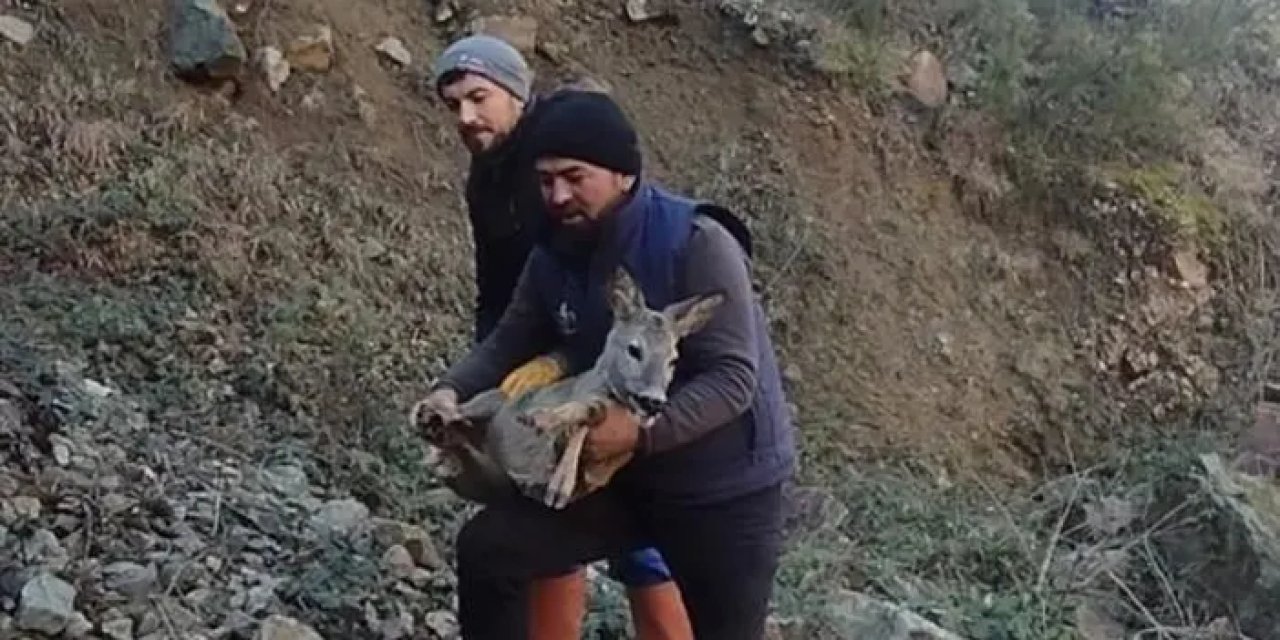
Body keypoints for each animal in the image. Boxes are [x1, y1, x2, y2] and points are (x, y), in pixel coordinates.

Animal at [414, 264, 727, 509]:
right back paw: (432, 420)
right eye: (634, 349)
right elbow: (585, 410)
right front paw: (548, 437)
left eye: (673, 360)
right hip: (490, 401)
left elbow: (592, 416)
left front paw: (558, 482)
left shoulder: (613, 455)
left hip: (492, 479)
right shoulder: (583, 393)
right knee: (461, 413)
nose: (654, 402)